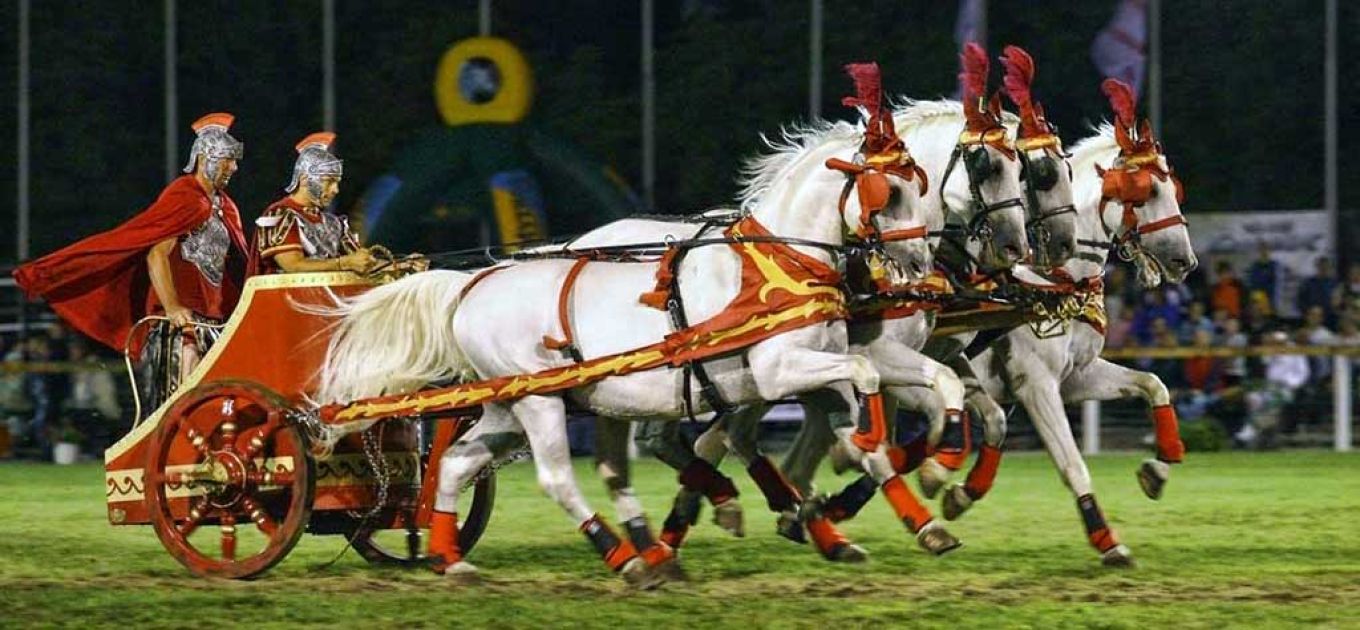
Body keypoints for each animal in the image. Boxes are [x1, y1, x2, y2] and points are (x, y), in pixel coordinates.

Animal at [312, 109, 941, 587]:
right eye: (891, 191)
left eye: (921, 187)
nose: (920, 264)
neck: (778, 262)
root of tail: (471, 284)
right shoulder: (779, 370)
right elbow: (863, 375)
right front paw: (873, 458)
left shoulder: (808, 372)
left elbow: (857, 396)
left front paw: (879, 492)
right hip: (539, 402)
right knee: (557, 479)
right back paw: (628, 558)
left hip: (510, 405)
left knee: (455, 465)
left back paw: (452, 558)